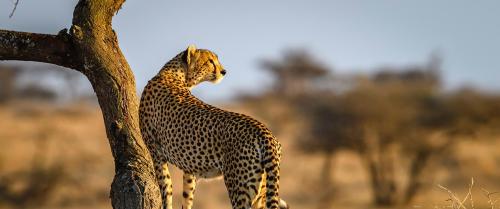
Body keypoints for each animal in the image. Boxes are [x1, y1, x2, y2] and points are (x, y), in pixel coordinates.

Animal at [141, 44, 290, 209]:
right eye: (210, 61)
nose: (224, 71)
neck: (173, 74)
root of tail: (264, 131)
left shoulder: (156, 153)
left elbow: (166, 189)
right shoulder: (189, 167)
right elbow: (186, 195)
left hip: (238, 186)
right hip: (262, 186)